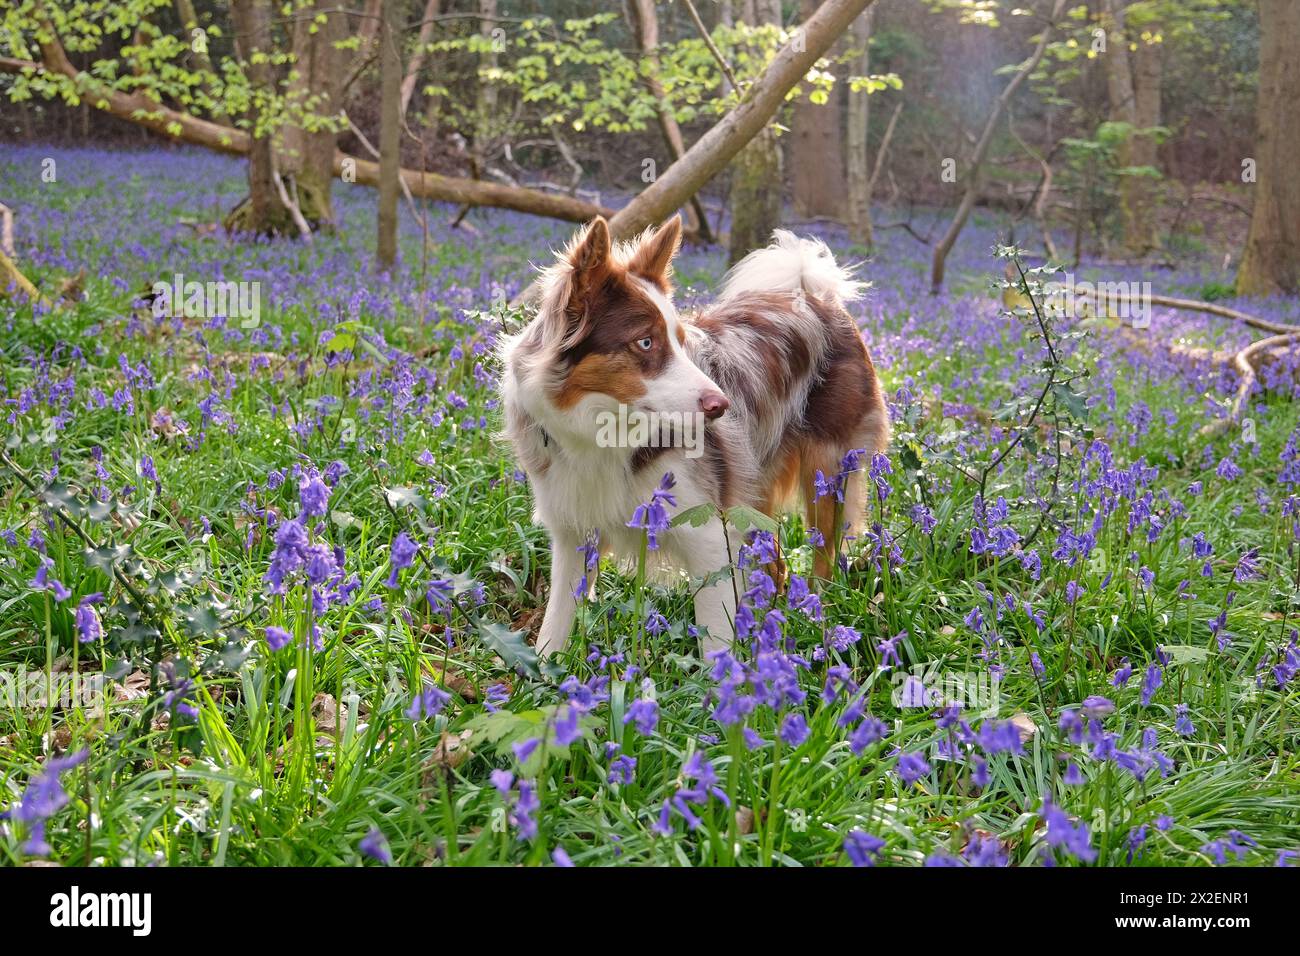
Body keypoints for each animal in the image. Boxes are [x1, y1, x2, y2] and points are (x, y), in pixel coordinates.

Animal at [501, 215, 889, 658]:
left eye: (681, 342)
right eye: (646, 342)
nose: (722, 406)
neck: (601, 432)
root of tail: (814, 295)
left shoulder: (707, 535)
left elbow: (715, 644)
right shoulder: (572, 531)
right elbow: (555, 625)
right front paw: (545, 668)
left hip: (827, 472)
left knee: (825, 553)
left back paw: (816, 615)